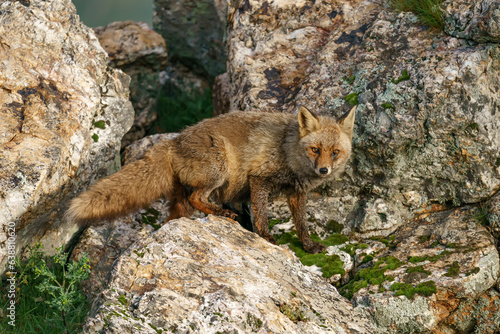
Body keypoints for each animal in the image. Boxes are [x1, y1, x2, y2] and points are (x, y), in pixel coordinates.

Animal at [67, 106, 356, 253]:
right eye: (315, 150)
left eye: (335, 152)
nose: (323, 171)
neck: (288, 150)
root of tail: (174, 141)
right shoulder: (259, 179)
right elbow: (262, 216)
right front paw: (265, 237)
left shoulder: (297, 193)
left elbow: (302, 225)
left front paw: (309, 246)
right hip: (219, 170)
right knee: (198, 198)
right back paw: (221, 214)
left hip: (185, 200)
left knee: (176, 215)